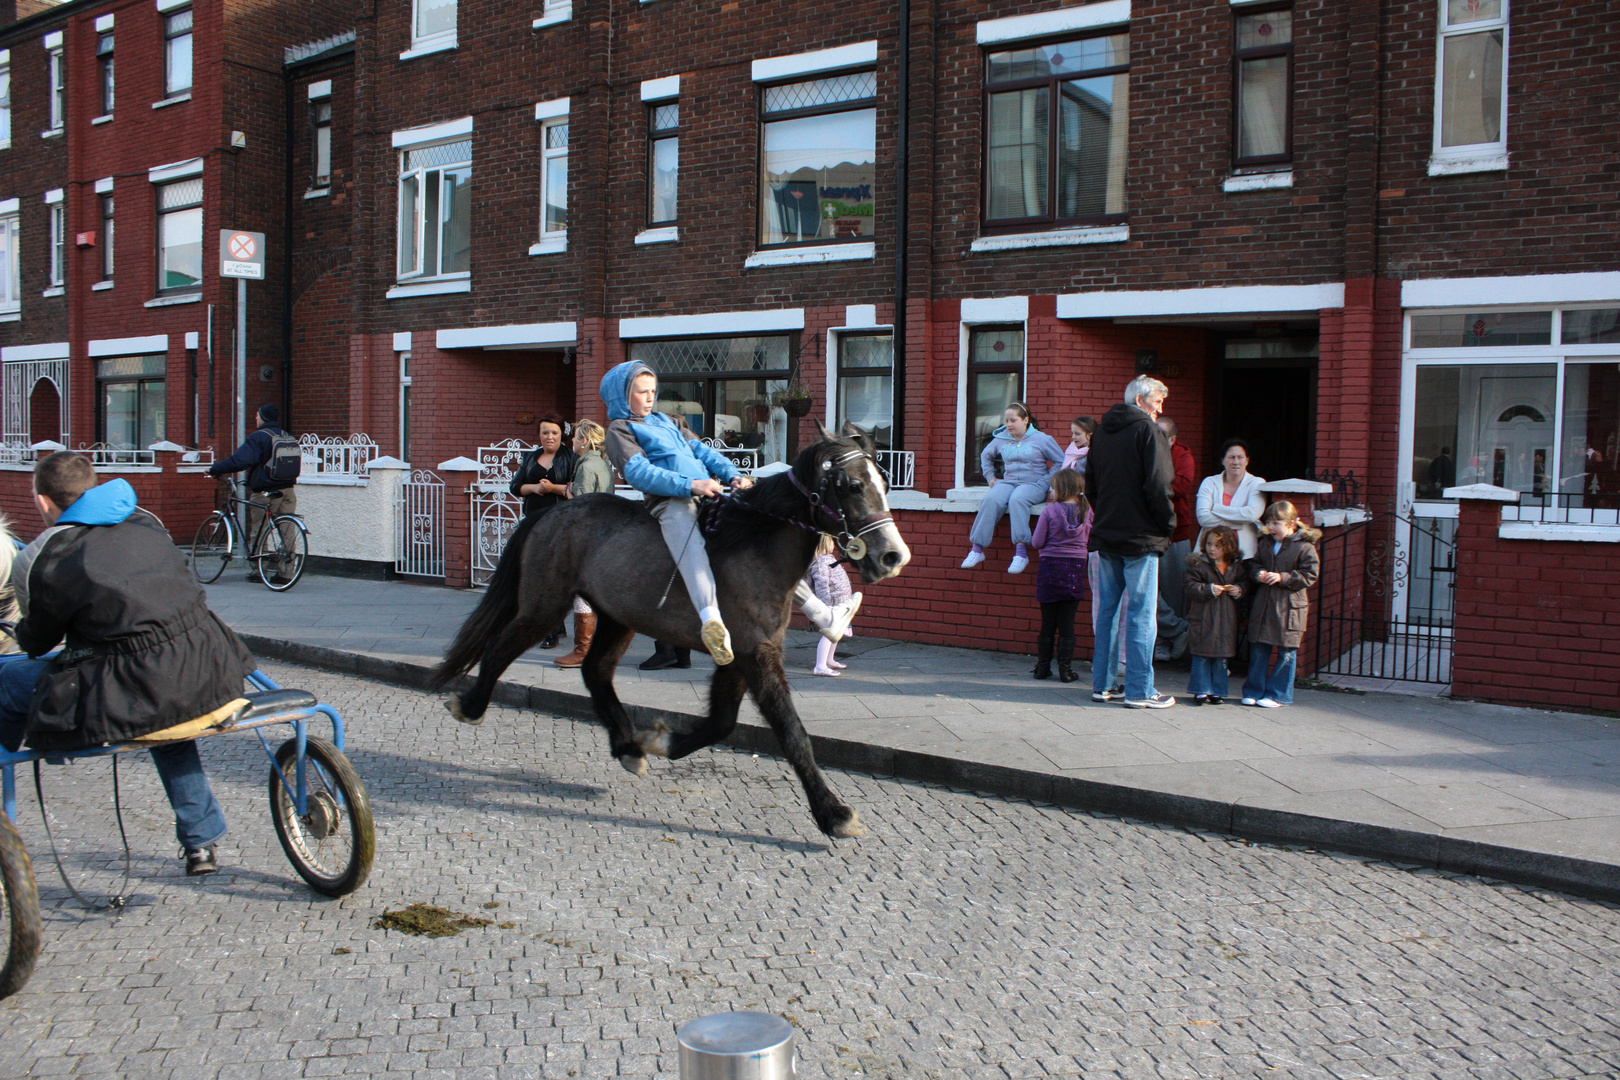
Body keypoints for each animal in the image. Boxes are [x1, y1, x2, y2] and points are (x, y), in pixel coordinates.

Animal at [430, 427, 913, 841]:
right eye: (852, 485)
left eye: (885, 483)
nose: (893, 556)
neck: (753, 544)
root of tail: (553, 512)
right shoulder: (755, 653)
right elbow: (791, 731)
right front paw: (834, 813)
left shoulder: (742, 654)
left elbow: (721, 723)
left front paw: (660, 741)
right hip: (543, 606)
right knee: (500, 649)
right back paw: (470, 706)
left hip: (616, 616)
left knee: (595, 670)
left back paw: (628, 746)